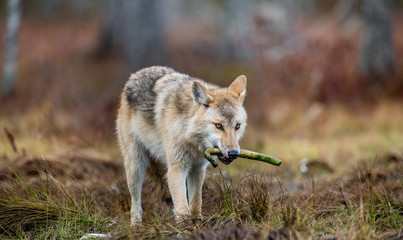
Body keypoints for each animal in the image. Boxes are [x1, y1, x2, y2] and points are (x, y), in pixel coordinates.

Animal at [115, 66, 248, 225]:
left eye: (237, 126)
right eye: (218, 125)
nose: (234, 153)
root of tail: (135, 75)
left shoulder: (198, 168)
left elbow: (196, 202)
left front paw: (197, 221)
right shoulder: (176, 169)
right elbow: (182, 207)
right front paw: (185, 226)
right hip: (135, 166)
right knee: (135, 203)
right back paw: (136, 225)